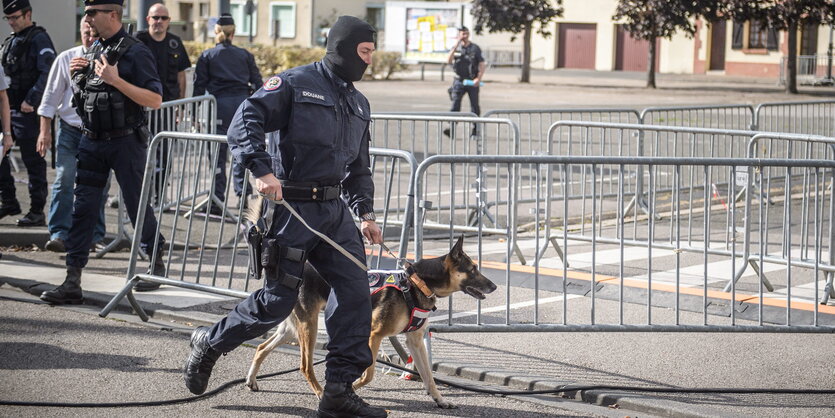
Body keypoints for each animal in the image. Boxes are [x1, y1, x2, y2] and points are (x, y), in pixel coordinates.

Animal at [242, 197, 496, 408]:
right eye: (473, 269)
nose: (494, 286)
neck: (417, 283)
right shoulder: (375, 335)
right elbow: (370, 373)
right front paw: (350, 388)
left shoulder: (415, 341)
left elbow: (428, 376)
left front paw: (439, 399)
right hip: (309, 327)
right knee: (305, 366)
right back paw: (320, 392)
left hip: (293, 328)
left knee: (262, 347)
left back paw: (252, 380)